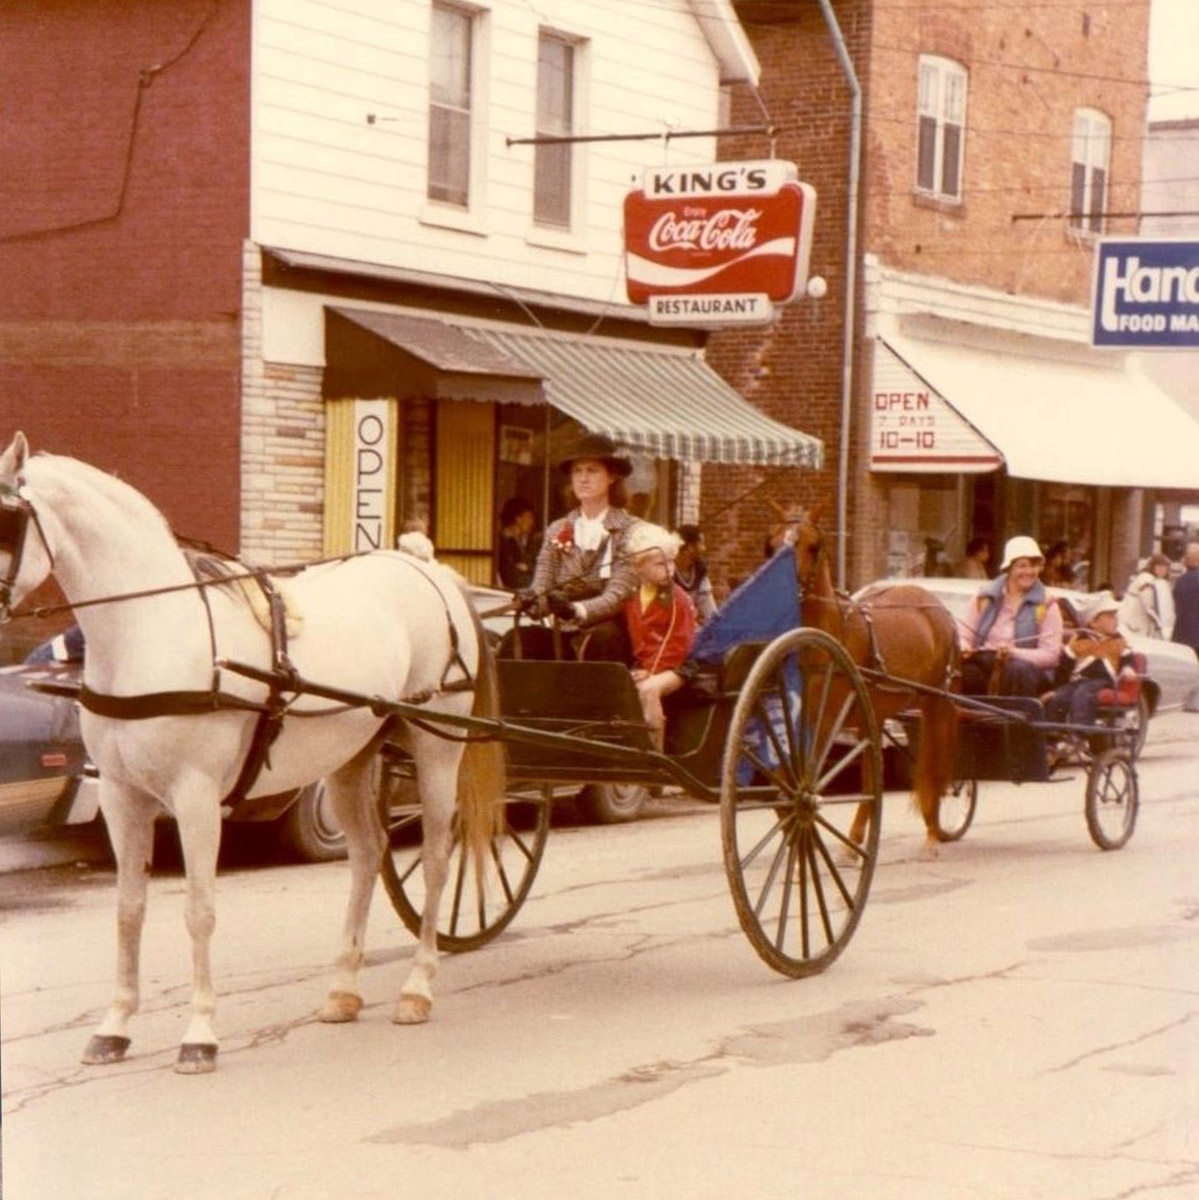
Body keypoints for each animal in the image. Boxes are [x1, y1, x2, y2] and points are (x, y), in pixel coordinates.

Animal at [0, 436, 504, 1075]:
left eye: (5, 519)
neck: (152, 630)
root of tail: (425, 565)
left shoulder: (195, 798)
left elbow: (199, 911)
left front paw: (199, 1034)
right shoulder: (120, 794)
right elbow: (129, 908)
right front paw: (114, 1027)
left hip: (437, 747)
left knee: (437, 860)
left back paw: (418, 987)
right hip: (350, 758)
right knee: (368, 855)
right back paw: (344, 988)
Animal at [792, 511, 960, 859]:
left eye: (813, 546)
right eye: (774, 543)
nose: (794, 586)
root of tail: (936, 605)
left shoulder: (829, 722)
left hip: (935, 701)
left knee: (933, 765)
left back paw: (932, 833)